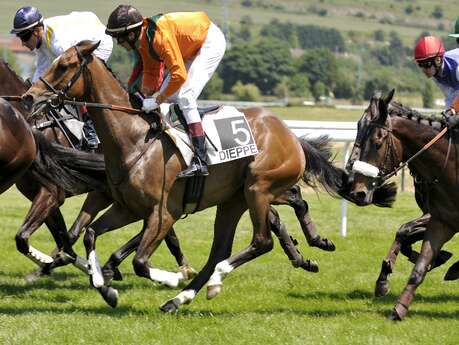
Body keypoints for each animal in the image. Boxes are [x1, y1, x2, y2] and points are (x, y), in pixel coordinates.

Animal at [21, 41, 366, 312]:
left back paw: (210, 281)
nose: (29, 97)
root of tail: (289, 133)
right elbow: (91, 233)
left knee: (261, 240)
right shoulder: (127, 208)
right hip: (235, 199)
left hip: (258, 188)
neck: (136, 142)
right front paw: (105, 287)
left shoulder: (163, 213)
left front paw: (171, 276)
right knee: (224, 248)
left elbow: (140, 261)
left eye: (64, 66)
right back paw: (182, 297)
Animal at [348, 88, 459, 320]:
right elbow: (409, 243)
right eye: (358, 126)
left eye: (378, 143)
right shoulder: (442, 219)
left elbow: (405, 231)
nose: (357, 191)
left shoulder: (434, 216)